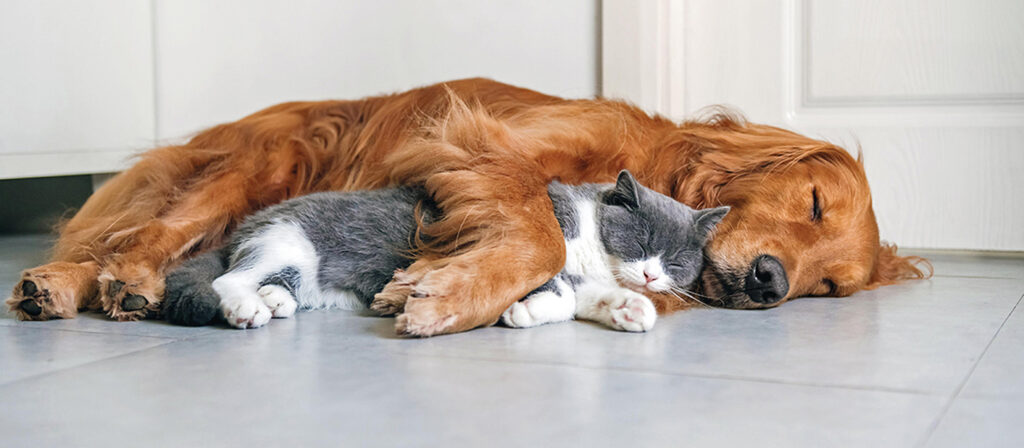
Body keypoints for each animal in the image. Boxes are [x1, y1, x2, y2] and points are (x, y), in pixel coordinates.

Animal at [161, 169, 729, 331]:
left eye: (677, 262)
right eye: (644, 242)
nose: (653, 276)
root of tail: (245, 224)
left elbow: (584, 298)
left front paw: (631, 309)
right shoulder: (528, 249)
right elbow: (561, 293)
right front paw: (522, 311)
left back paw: (275, 301)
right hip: (289, 243)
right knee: (227, 280)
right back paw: (247, 308)